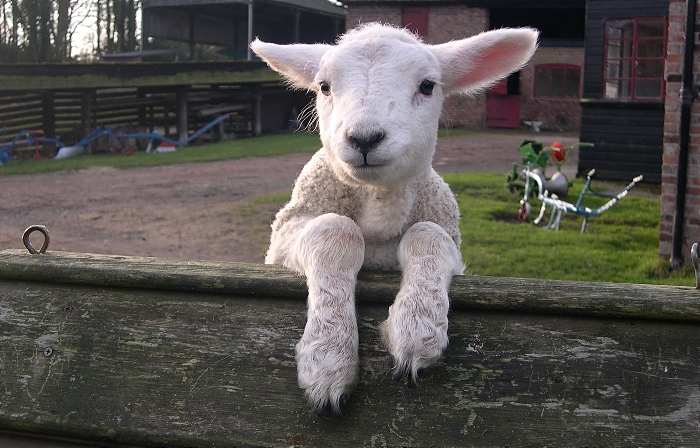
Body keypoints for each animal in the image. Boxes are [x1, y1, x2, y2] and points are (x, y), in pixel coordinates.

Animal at [252, 21, 536, 412]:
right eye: (324, 86)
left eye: (428, 85)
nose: (364, 138)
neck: (379, 219)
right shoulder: (284, 237)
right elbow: (335, 230)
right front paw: (329, 356)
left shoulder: (449, 237)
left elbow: (428, 235)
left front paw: (416, 329)